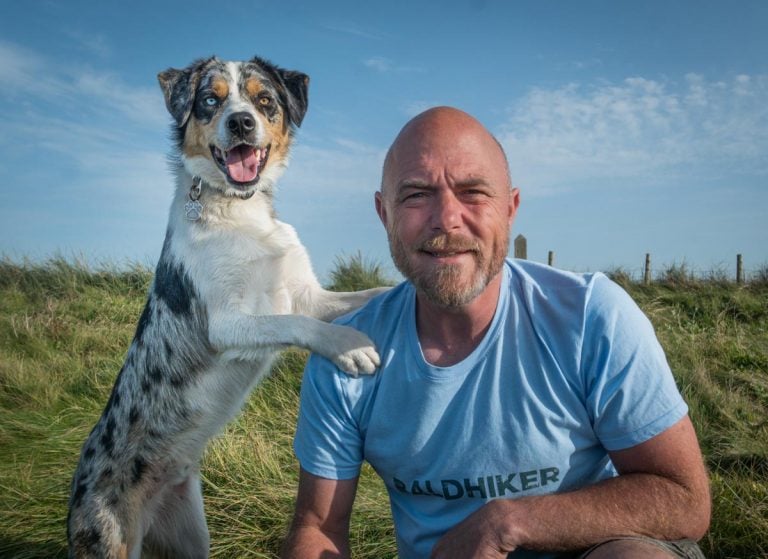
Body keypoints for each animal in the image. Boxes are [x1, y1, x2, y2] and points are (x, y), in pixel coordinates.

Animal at [67, 57, 388, 559]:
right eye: (209, 100)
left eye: (265, 100)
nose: (241, 123)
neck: (241, 212)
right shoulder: (227, 324)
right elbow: (293, 322)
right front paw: (348, 345)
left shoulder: (310, 295)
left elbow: (370, 292)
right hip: (110, 539)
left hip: (191, 535)